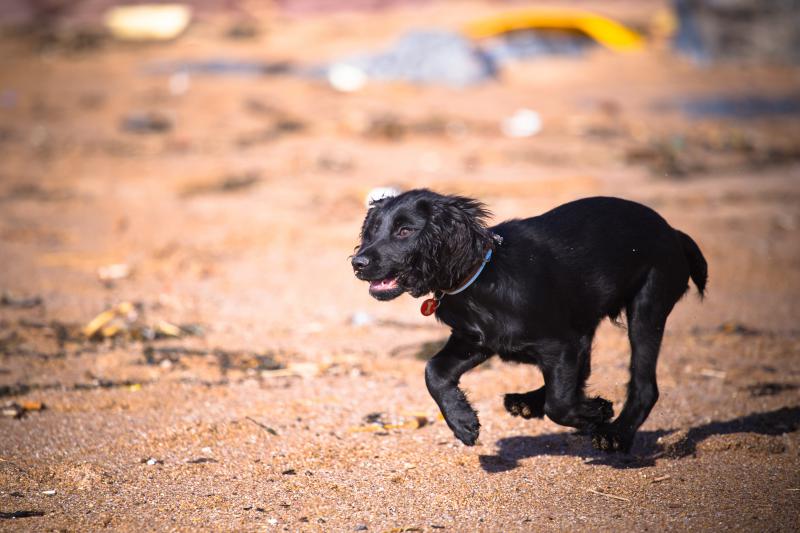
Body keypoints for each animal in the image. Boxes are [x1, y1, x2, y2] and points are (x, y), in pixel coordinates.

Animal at [350, 189, 708, 450]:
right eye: (372, 231)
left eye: (405, 230)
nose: (358, 263)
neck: (483, 273)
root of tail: (673, 232)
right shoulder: (476, 339)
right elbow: (433, 371)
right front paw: (463, 422)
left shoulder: (560, 343)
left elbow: (559, 404)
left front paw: (596, 412)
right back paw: (527, 402)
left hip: (647, 307)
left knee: (644, 386)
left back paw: (615, 434)